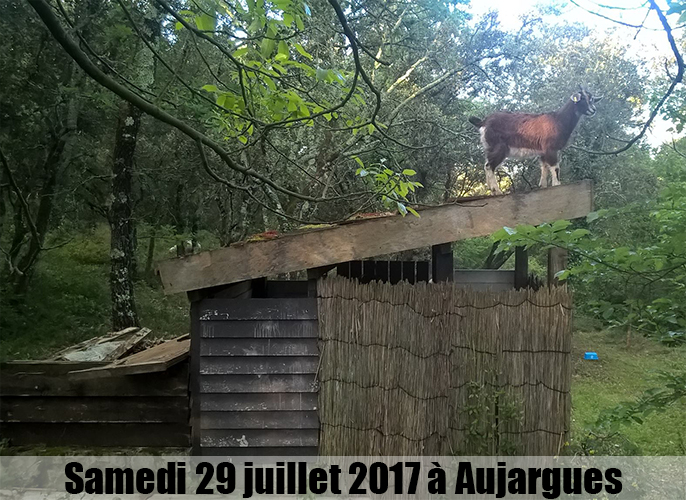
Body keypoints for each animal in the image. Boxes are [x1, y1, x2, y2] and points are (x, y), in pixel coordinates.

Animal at [470, 88, 604, 193]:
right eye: (582, 99)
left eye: (592, 99)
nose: (593, 110)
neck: (558, 120)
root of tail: (483, 122)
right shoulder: (551, 148)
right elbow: (555, 169)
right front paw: (557, 186)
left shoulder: (543, 151)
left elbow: (544, 168)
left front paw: (542, 186)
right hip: (499, 146)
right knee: (489, 165)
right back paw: (496, 190)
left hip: (490, 146)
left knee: (486, 164)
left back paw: (491, 189)